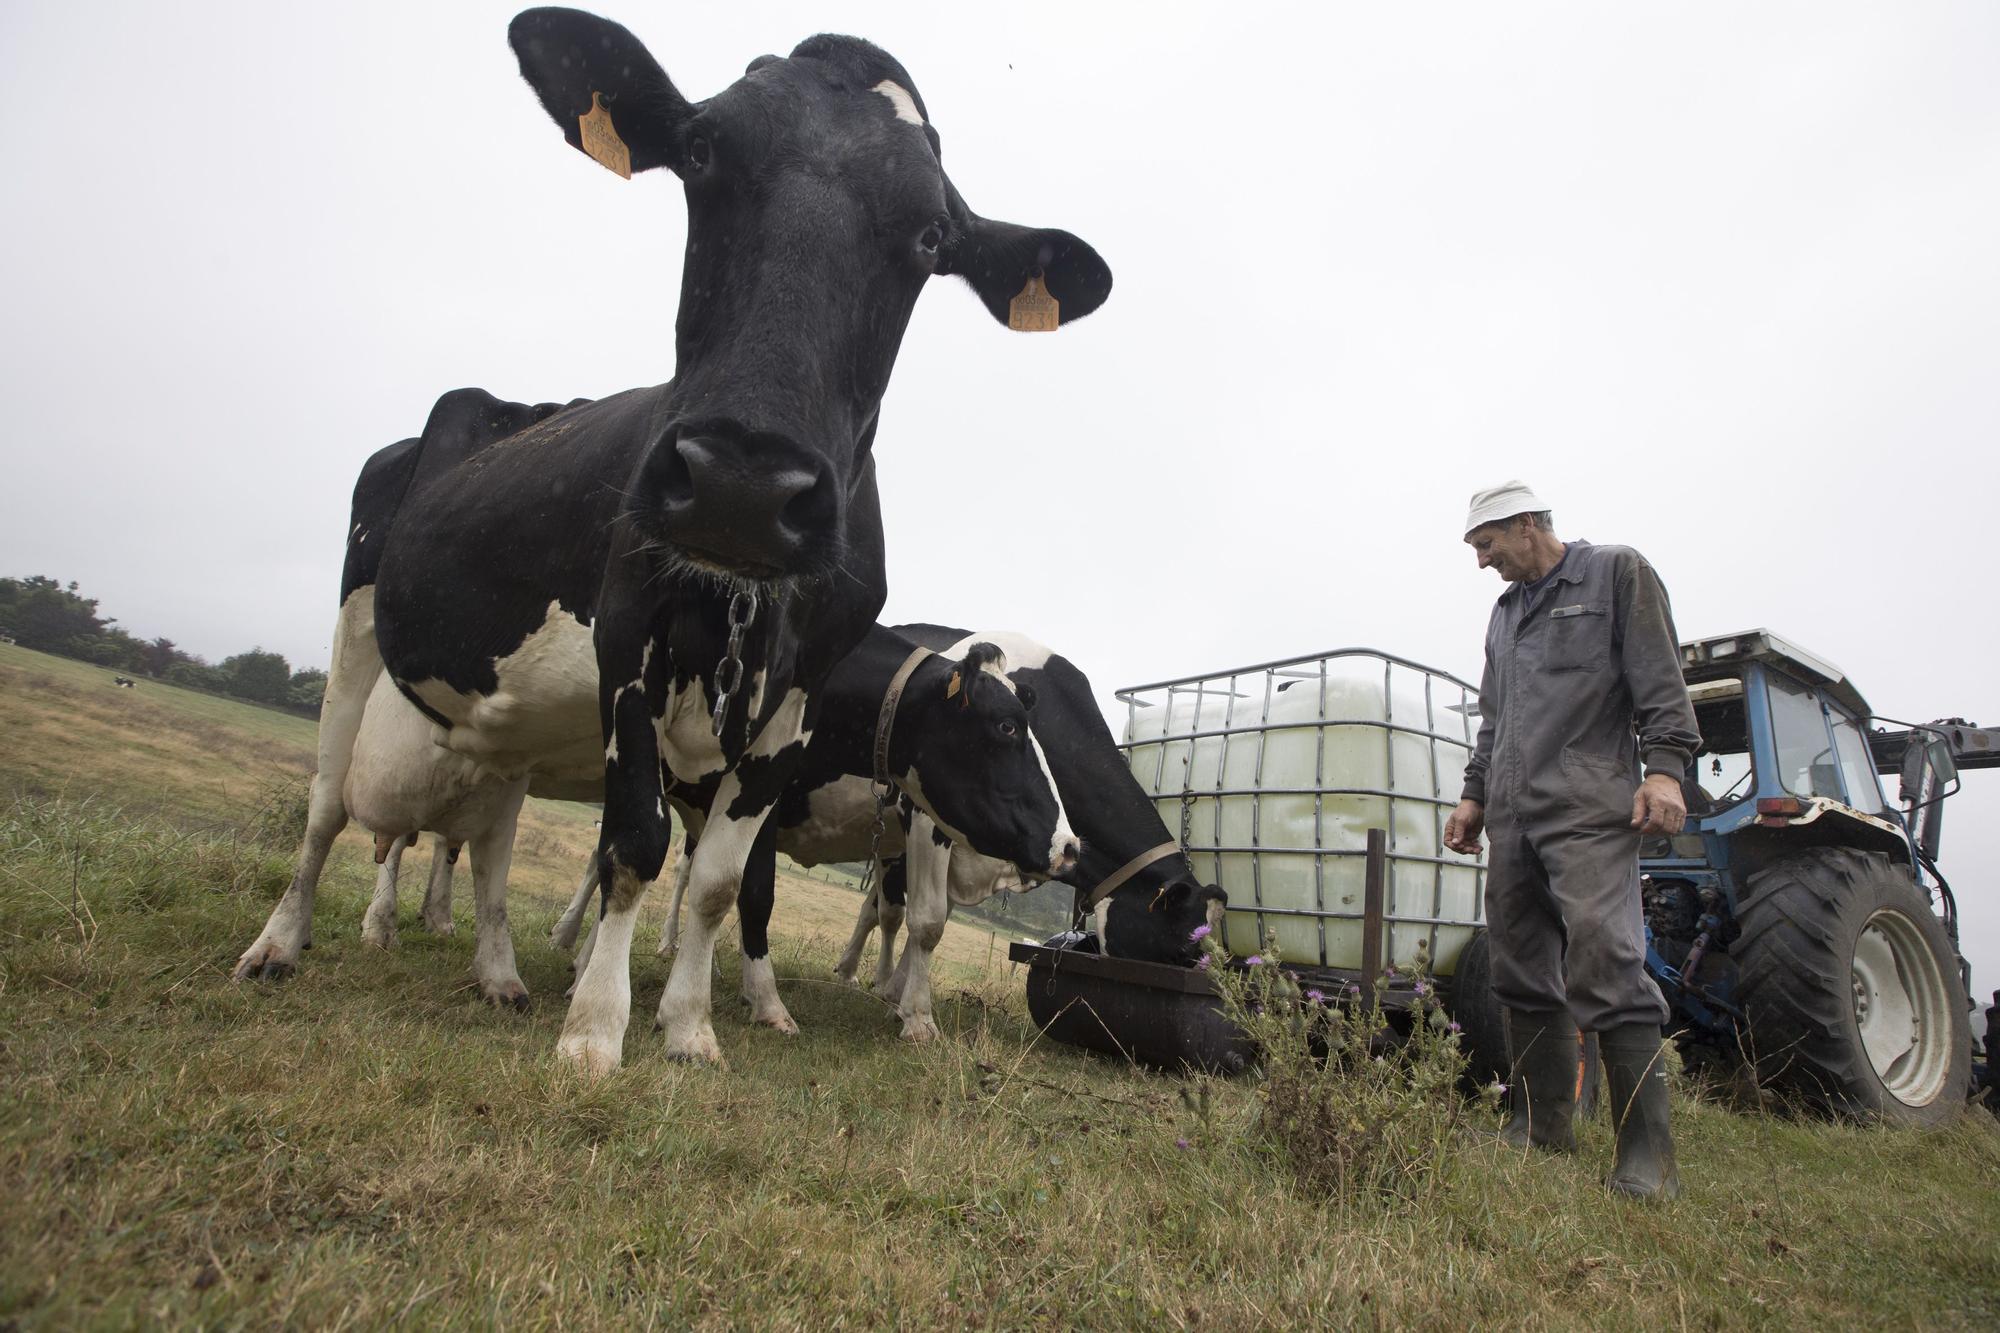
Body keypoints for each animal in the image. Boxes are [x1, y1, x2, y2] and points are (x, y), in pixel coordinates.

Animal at [238, 5, 1112, 1072]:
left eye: (932, 234)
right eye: (699, 152)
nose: (741, 483)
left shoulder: (790, 710)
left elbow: (717, 882)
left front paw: (692, 1025)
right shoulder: (628, 646)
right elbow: (636, 847)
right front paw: (595, 1028)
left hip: (506, 724)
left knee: (487, 839)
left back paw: (498, 971)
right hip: (358, 625)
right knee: (330, 800)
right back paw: (283, 941)